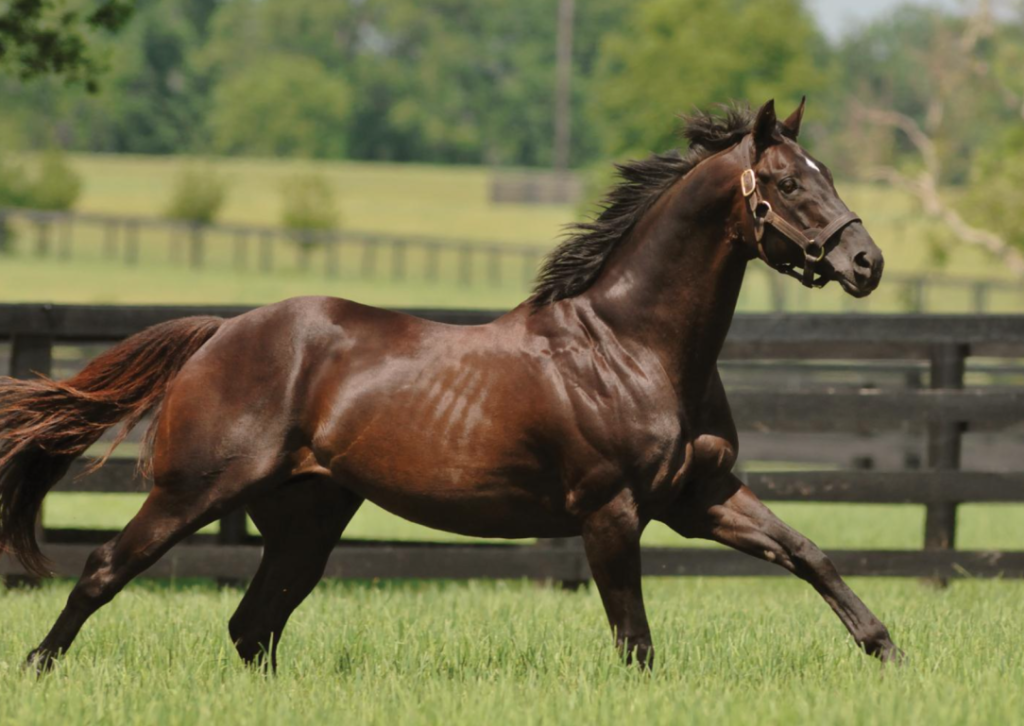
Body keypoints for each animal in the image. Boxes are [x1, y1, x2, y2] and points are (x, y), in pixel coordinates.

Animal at [0, 99, 897, 671]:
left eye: (826, 172)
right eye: (787, 183)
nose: (867, 262)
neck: (632, 349)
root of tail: (222, 332)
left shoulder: (699, 494)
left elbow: (806, 552)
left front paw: (885, 648)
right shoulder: (612, 513)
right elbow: (634, 640)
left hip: (306, 519)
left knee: (253, 625)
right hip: (195, 491)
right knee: (105, 570)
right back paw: (39, 666)